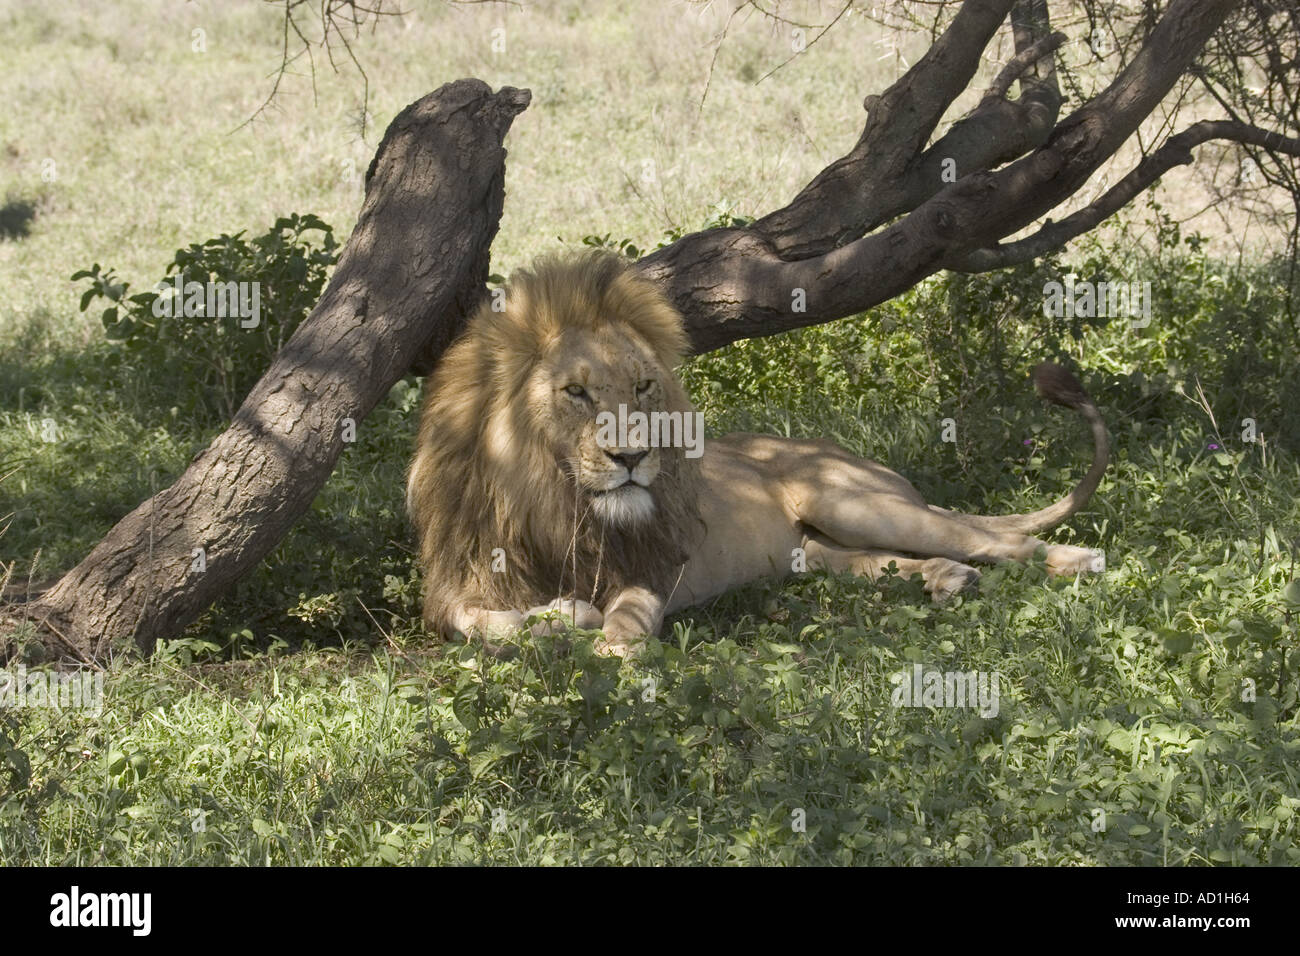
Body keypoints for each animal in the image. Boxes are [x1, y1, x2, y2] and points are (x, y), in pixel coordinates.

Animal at [405, 252, 1107, 658]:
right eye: (576, 392)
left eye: (643, 387)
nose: (634, 457)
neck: (551, 497)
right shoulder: (453, 584)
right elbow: (475, 622)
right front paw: (556, 617)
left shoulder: (652, 566)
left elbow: (626, 624)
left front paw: (604, 648)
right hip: (820, 550)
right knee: (883, 564)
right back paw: (945, 579)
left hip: (850, 500)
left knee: (997, 540)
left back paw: (1076, 561)